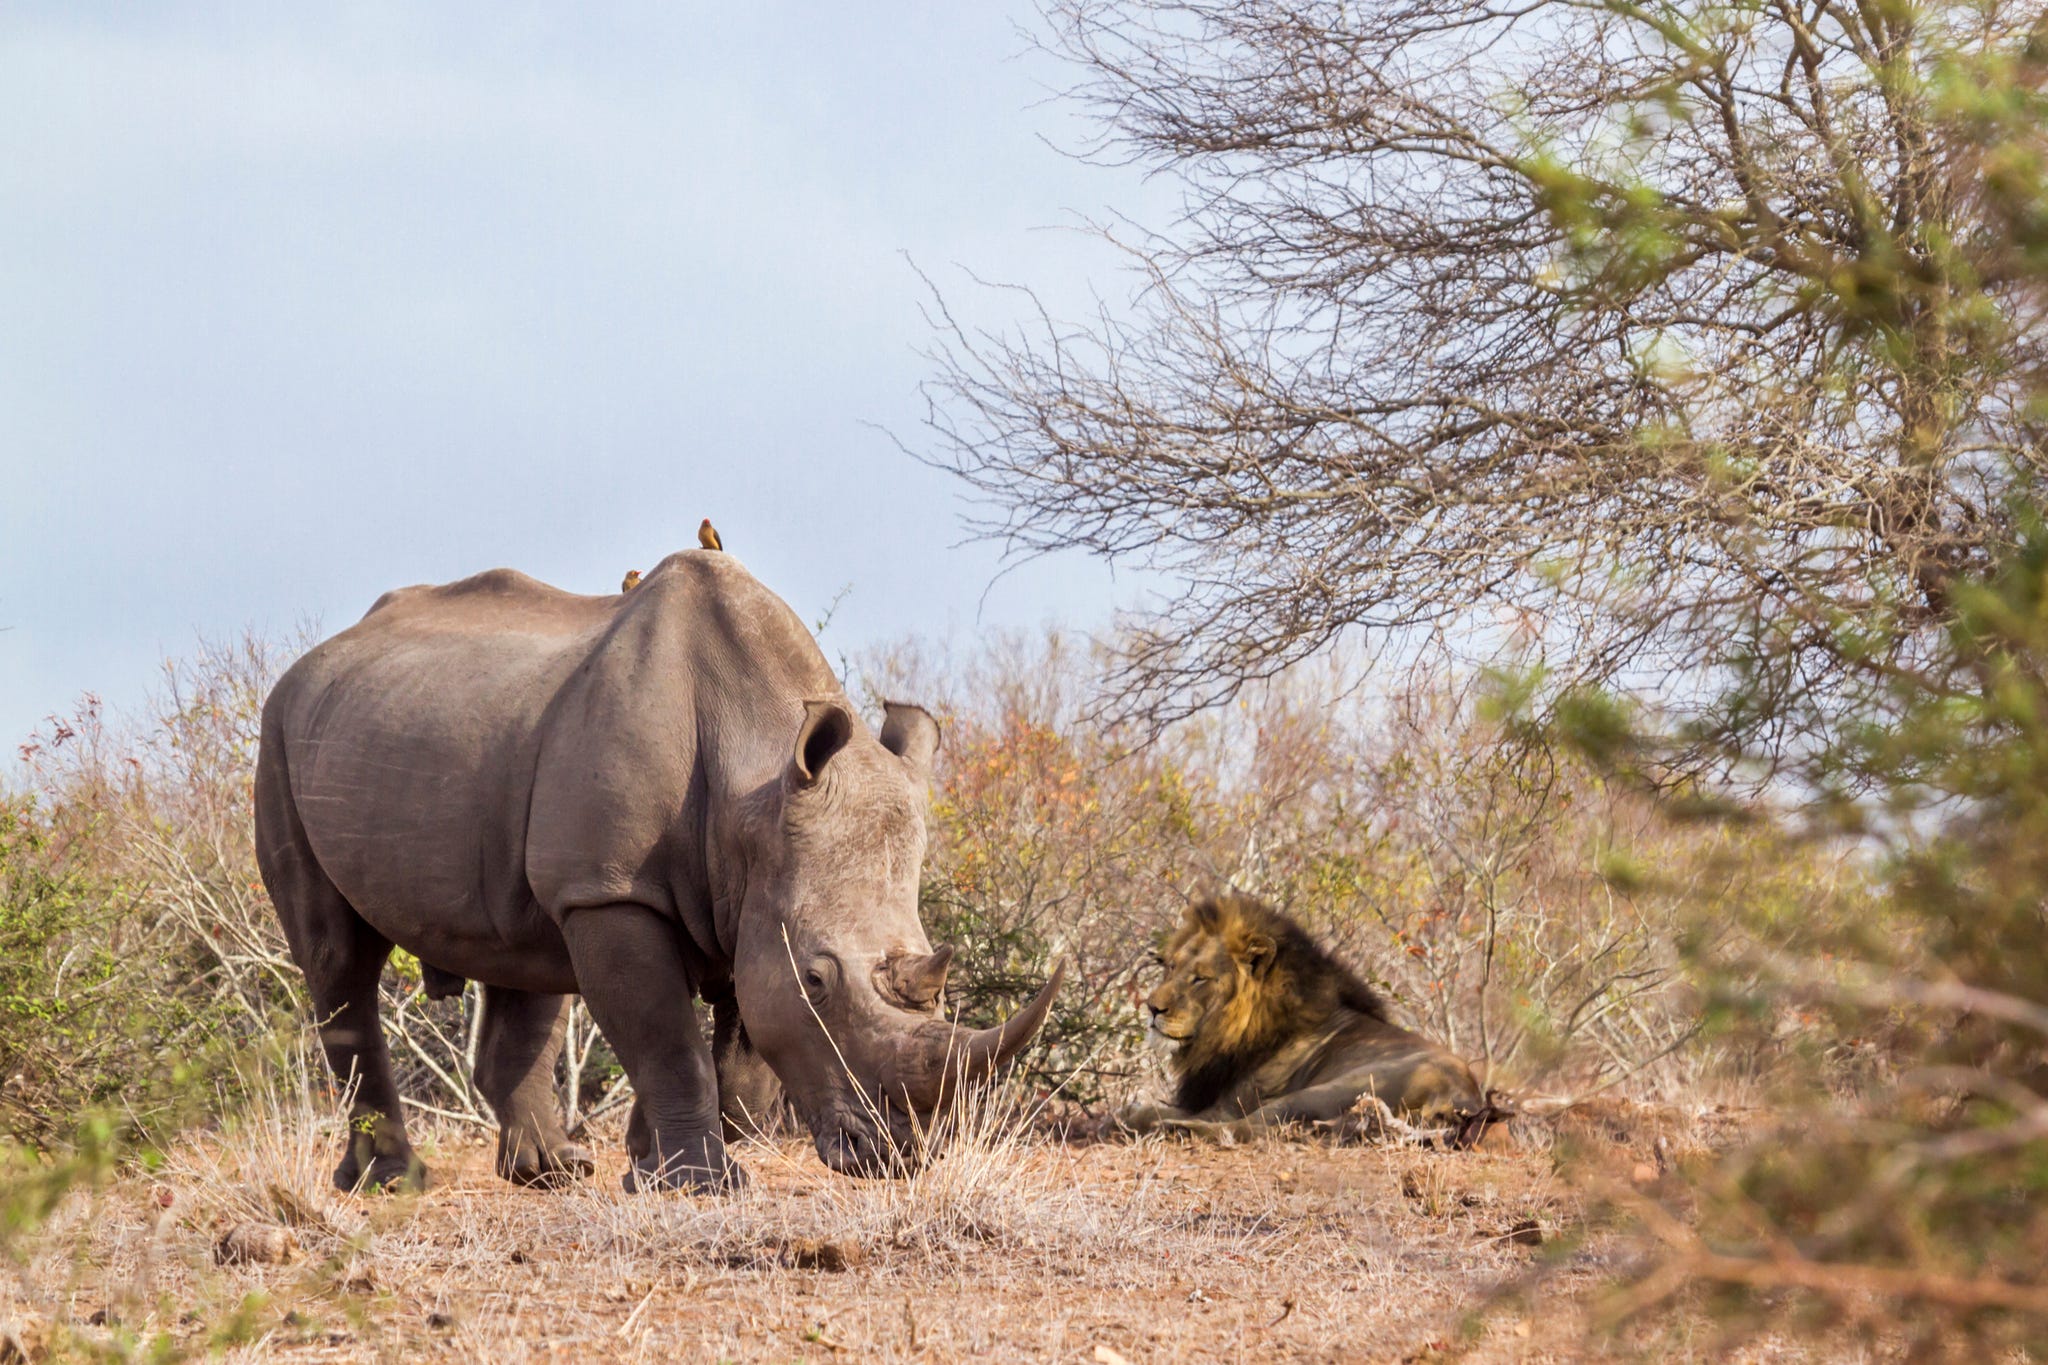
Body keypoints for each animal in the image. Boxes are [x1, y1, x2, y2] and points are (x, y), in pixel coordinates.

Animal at [1122, 892, 1490, 1146]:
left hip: (1335, 1087)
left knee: (1247, 1129)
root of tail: (1465, 1102)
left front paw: (1135, 1115)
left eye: (1200, 978)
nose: (1152, 1008)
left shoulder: (1225, 1105)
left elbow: (1148, 1109)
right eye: (1171, 967)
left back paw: (1173, 1129)